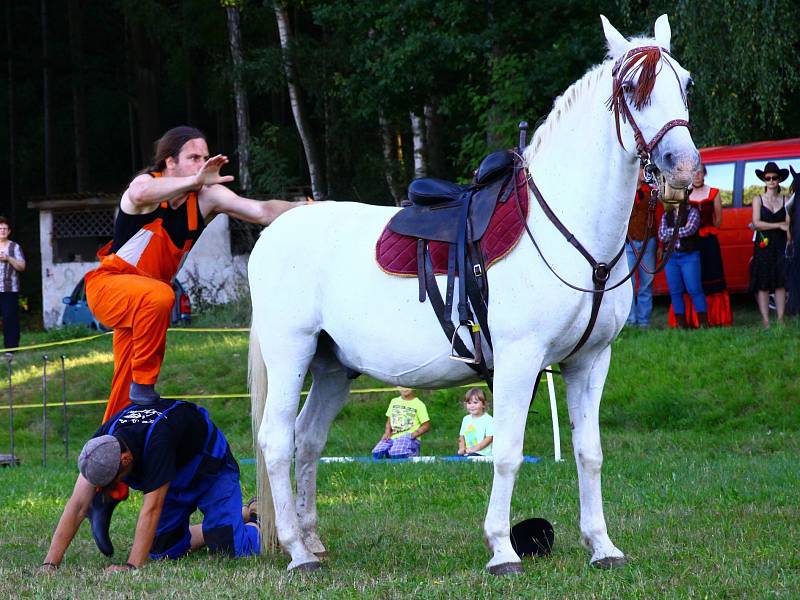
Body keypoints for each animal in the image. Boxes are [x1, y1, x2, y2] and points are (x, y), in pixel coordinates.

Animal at [247, 15, 696, 576]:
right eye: (634, 89)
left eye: (687, 84)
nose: (683, 167)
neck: (573, 234)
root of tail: (274, 228)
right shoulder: (520, 360)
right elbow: (506, 453)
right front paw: (502, 549)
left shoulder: (590, 361)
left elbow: (589, 453)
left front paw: (602, 546)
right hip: (292, 354)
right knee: (276, 440)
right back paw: (296, 551)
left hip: (332, 367)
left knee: (307, 441)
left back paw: (312, 541)